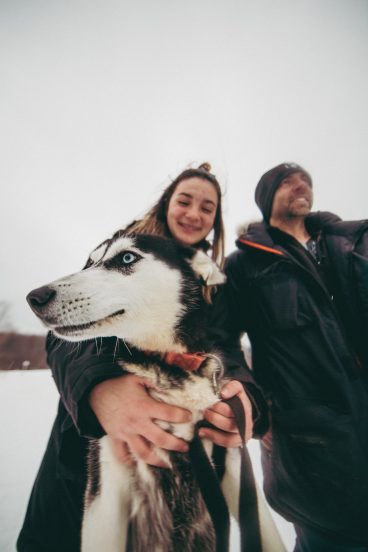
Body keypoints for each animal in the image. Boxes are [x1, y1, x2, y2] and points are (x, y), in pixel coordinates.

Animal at [28, 234, 244, 552]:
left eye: (127, 258)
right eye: (90, 262)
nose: (35, 297)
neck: (167, 362)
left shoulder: (228, 460)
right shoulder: (106, 490)